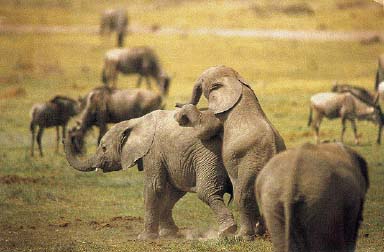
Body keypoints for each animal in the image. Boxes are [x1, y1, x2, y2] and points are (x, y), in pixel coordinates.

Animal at [64, 109, 237, 239]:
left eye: (104, 148)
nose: (68, 134)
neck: (134, 122)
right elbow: (174, 190)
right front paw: (169, 234)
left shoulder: (153, 151)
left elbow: (154, 187)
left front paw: (144, 237)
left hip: (210, 152)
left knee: (205, 191)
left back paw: (227, 230)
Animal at [176, 65, 286, 240]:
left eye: (203, 81)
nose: (176, 107)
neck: (237, 80)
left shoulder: (219, 116)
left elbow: (205, 129)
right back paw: (261, 233)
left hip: (250, 163)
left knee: (242, 195)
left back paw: (242, 237)